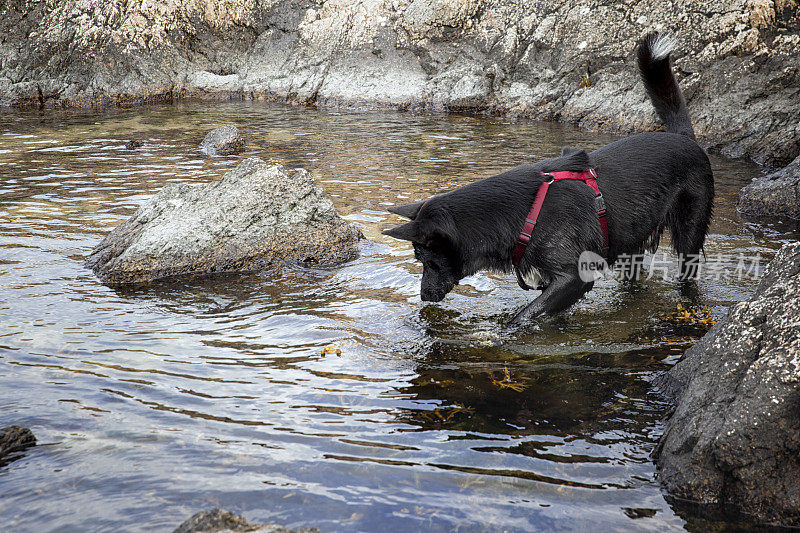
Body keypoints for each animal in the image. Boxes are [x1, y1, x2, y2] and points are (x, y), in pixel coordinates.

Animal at [382, 34, 712, 324]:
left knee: (687, 274)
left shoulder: (574, 277)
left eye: (426, 260)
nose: (423, 296)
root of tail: (683, 137)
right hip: (633, 241)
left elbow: (525, 315)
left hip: (689, 231)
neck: (525, 214)